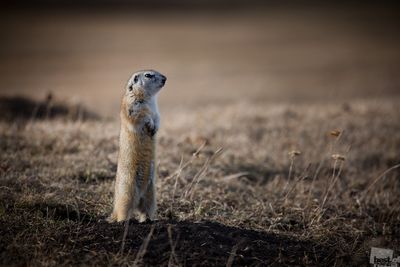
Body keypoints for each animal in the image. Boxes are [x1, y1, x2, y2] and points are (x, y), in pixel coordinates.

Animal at [107, 70, 166, 223]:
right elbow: (140, 116)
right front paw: (149, 124)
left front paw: (155, 128)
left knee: (145, 210)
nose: (165, 78)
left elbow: (157, 117)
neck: (148, 99)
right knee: (124, 210)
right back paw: (123, 221)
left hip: (151, 195)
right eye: (148, 75)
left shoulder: (156, 110)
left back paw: (149, 220)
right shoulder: (132, 106)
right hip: (127, 192)